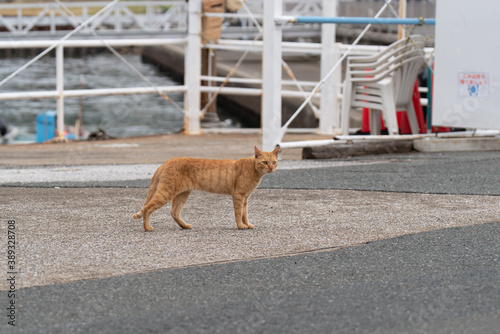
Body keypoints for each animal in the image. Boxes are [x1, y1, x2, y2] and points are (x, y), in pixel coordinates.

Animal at [133, 147, 280, 232]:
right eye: (265, 162)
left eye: (274, 162)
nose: (271, 168)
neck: (254, 171)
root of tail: (166, 162)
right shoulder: (239, 196)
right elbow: (238, 214)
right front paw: (240, 226)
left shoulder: (246, 198)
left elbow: (245, 214)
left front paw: (247, 224)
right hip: (166, 193)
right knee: (147, 208)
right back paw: (147, 228)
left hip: (182, 194)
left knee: (174, 212)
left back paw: (185, 226)